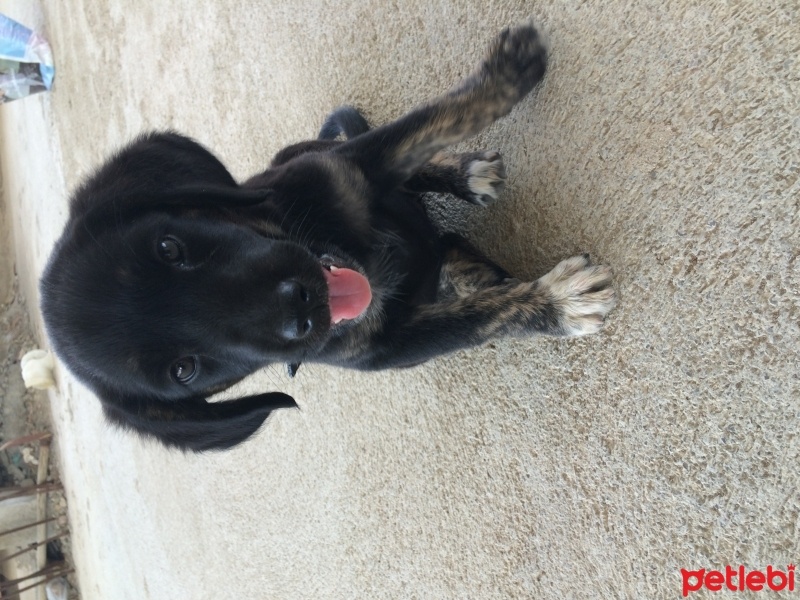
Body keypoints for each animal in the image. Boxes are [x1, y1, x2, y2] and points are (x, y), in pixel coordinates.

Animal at [39, 27, 620, 450]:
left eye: (170, 248)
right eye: (185, 370)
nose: (304, 306)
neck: (362, 254)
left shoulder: (343, 170)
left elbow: (432, 121)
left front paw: (508, 73)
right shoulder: (394, 344)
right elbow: (479, 319)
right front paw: (556, 303)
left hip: (303, 151)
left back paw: (463, 177)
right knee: (450, 248)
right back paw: (467, 266)